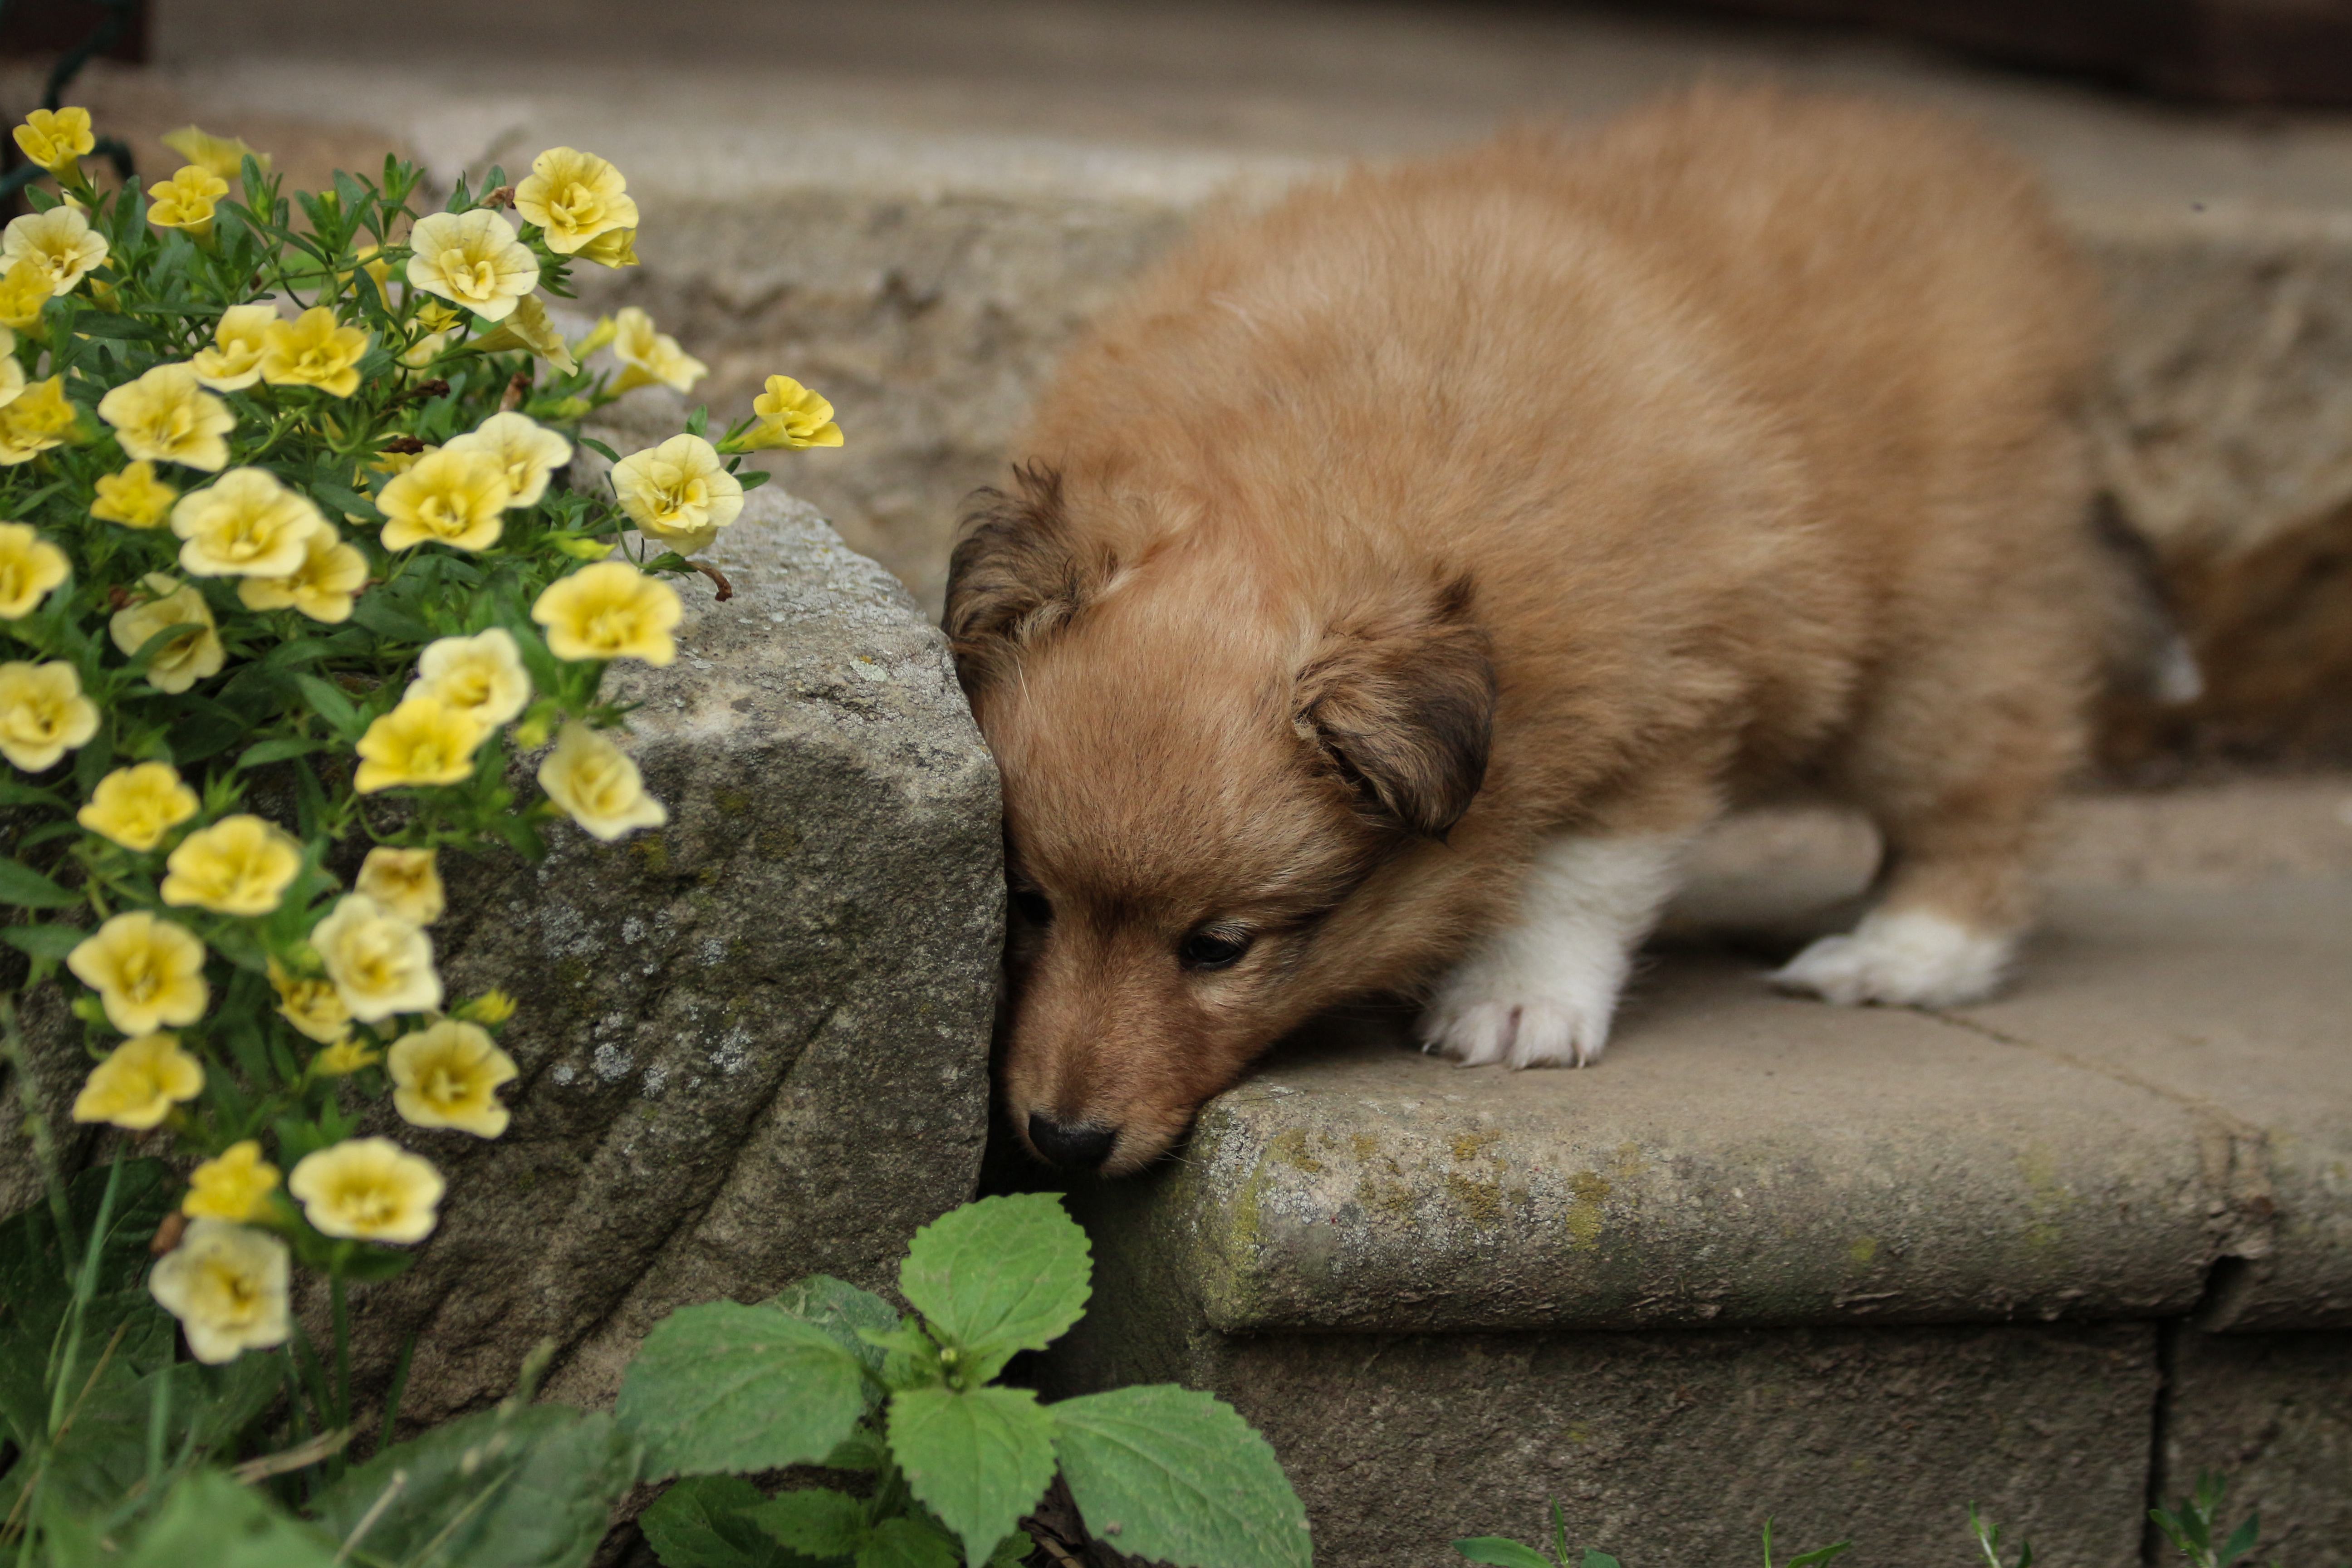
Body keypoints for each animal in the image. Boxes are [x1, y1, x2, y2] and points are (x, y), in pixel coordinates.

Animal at [950, 83, 2117, 1166]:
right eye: (1028, 902)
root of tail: (1992, 194)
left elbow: (1576, 876)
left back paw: (1905, 953)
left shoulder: (1661, 705)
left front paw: (1516, 1004)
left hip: (1942, 652)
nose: (1062, 1140)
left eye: (1217, 948)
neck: (1319, 480)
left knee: (1986, 790)